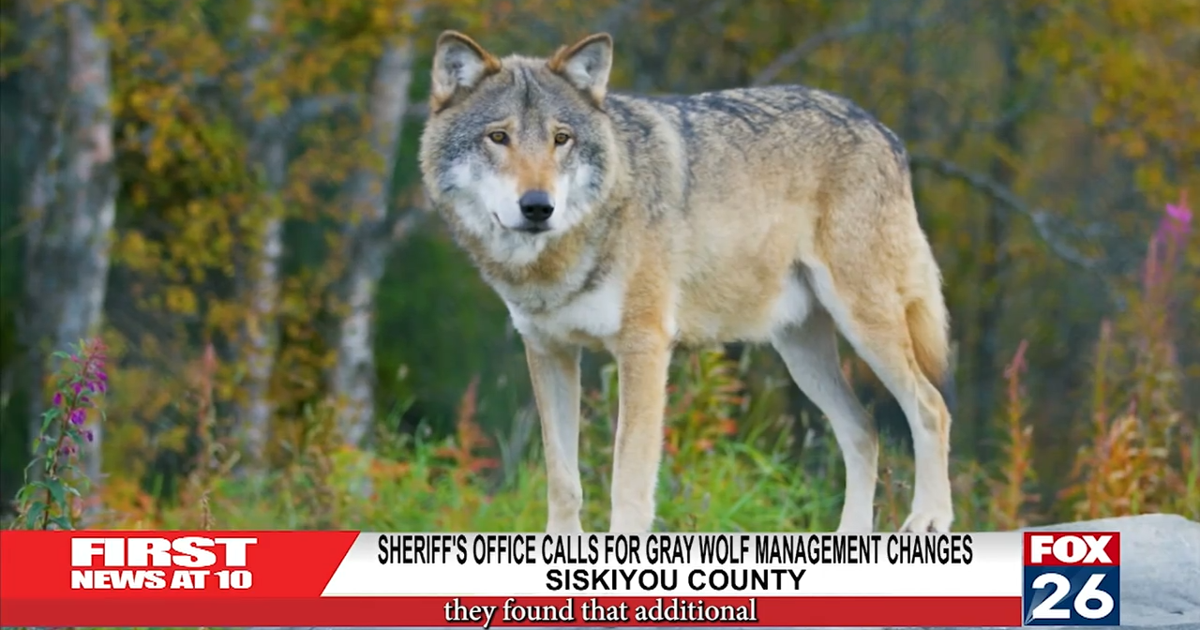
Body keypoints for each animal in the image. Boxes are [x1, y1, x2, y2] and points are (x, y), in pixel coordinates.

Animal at [418, 31, 956, 534]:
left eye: (561, 138)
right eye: (498, 137)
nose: (537, 206)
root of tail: (882, 130)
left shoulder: (644, 347)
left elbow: (628, 479)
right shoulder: (548, 352)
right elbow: (563, 480)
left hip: (865, 326)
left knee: (931, 407)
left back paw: (929, 519)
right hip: (802, 353)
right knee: (863, 428)